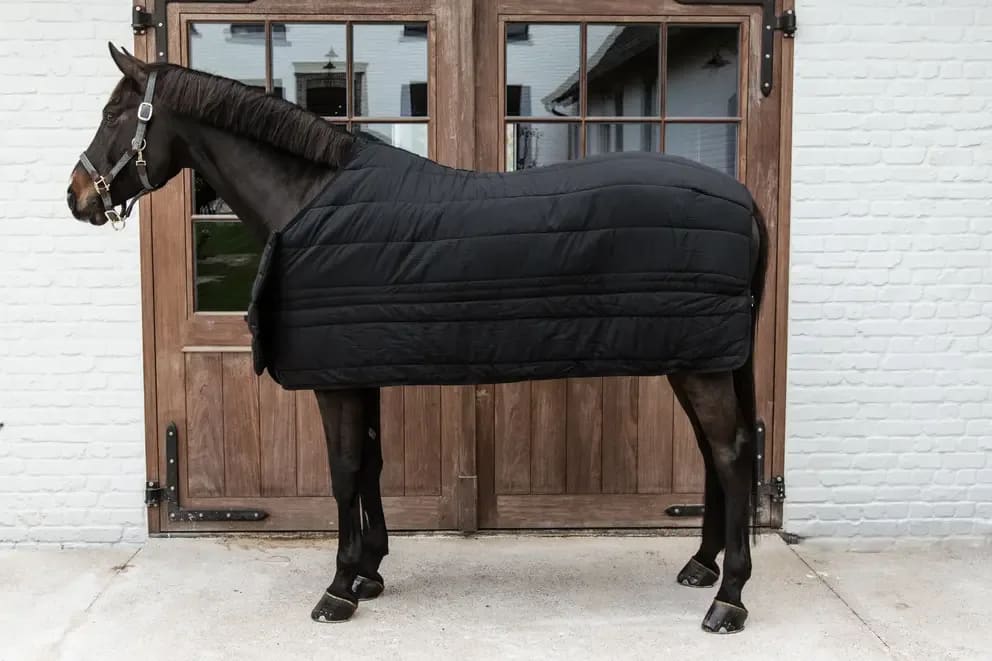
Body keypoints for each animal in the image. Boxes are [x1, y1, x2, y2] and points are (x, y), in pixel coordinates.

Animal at [67, 44, 768, 634]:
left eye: (113, 114)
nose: (76, 196)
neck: (308, 199)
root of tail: (744, 197)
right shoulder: (359, 367)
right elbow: (371, 462)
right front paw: (371, 571)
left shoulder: (335, 382)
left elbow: (344, 471)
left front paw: (339, 587)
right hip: (696, 358)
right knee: (713, 454)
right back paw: (701, 565)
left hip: (703, 364)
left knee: (732, 455)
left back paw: (729, 598)